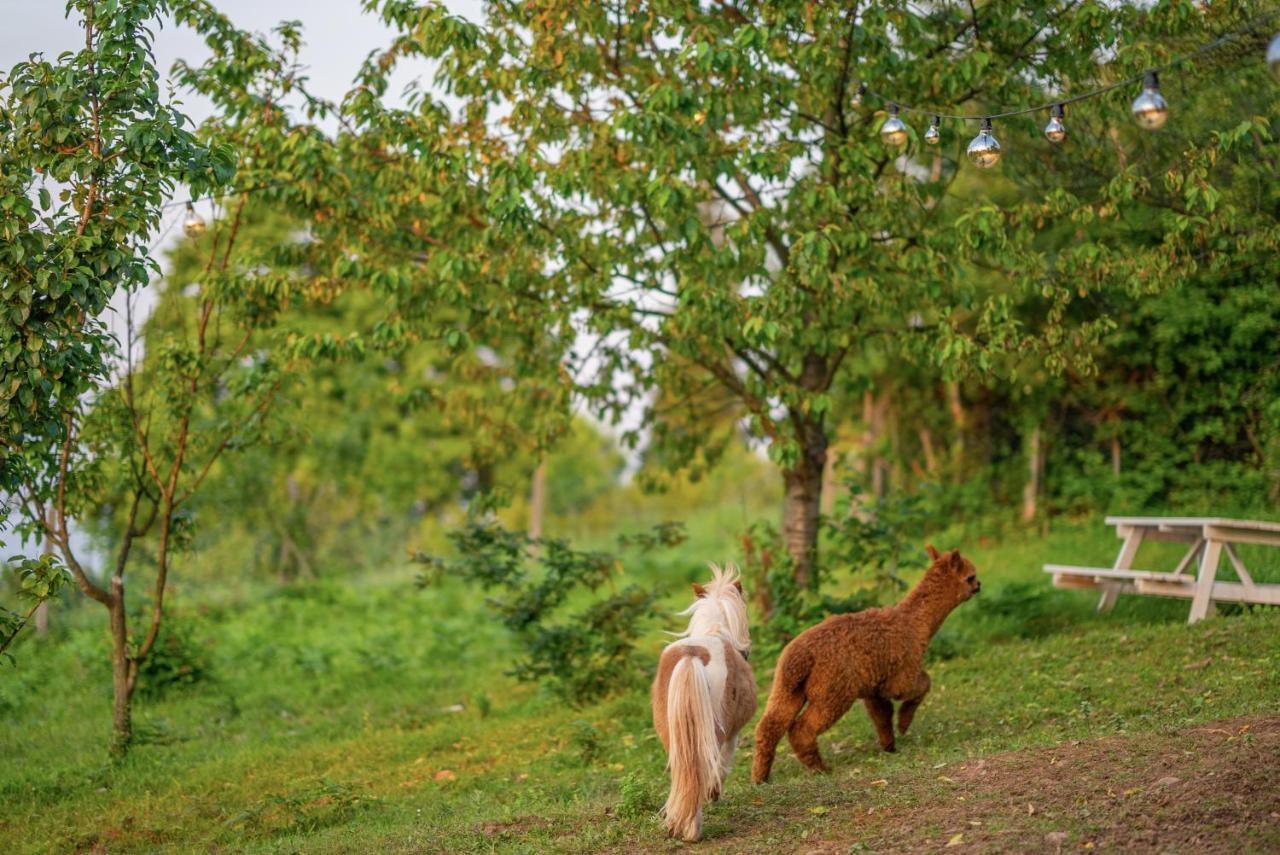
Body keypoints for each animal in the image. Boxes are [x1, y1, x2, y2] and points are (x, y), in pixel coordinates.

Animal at [655, 563, 752, 839]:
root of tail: (692, 656)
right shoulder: (733, 733)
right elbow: (724, 761)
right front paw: (714, 792)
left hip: (673, 734)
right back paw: (693, 830)